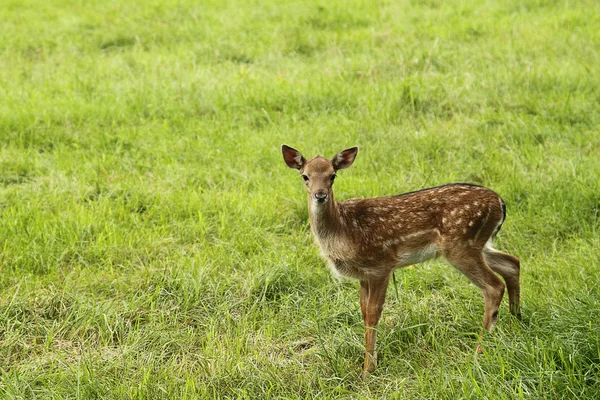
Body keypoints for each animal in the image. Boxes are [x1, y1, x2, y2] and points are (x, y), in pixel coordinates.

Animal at [282, 145, 520, 376]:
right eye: (305, 176)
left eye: (332, 175)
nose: (320, 195)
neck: (345, 230)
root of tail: (500, 203)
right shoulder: (363, 275)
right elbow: (363, 311)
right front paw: (368, 363)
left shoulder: (380, 265)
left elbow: (373, 313)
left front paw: (368, 370)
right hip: (479, 243)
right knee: (512, 263)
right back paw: (517, 321)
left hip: (460, 245)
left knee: (494, 285)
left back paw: (479, 350)